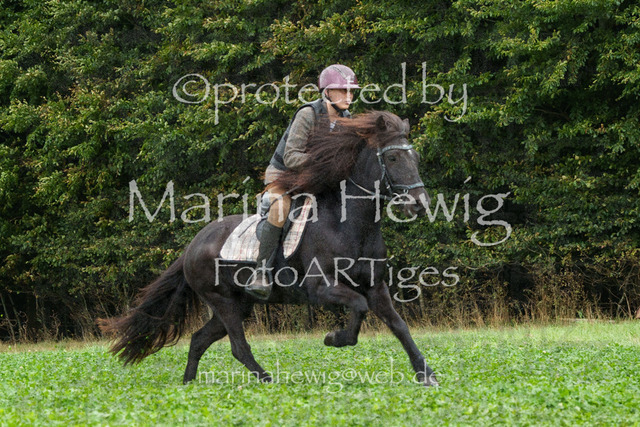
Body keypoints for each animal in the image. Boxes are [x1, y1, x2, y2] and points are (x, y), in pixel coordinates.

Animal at [99, 110, 439, 386]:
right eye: (392, 159)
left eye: (417, 158)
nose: (420, 204)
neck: (350, 224)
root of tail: (192, 245)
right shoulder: (322, 288)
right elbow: (358, 307)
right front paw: (334, 338)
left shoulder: (375, 286)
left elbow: (398, 325)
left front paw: (426, 374)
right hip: (223, 301)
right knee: (238, 346)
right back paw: (267, 380)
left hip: (238, 304)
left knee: (199, 339)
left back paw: (188, 384)